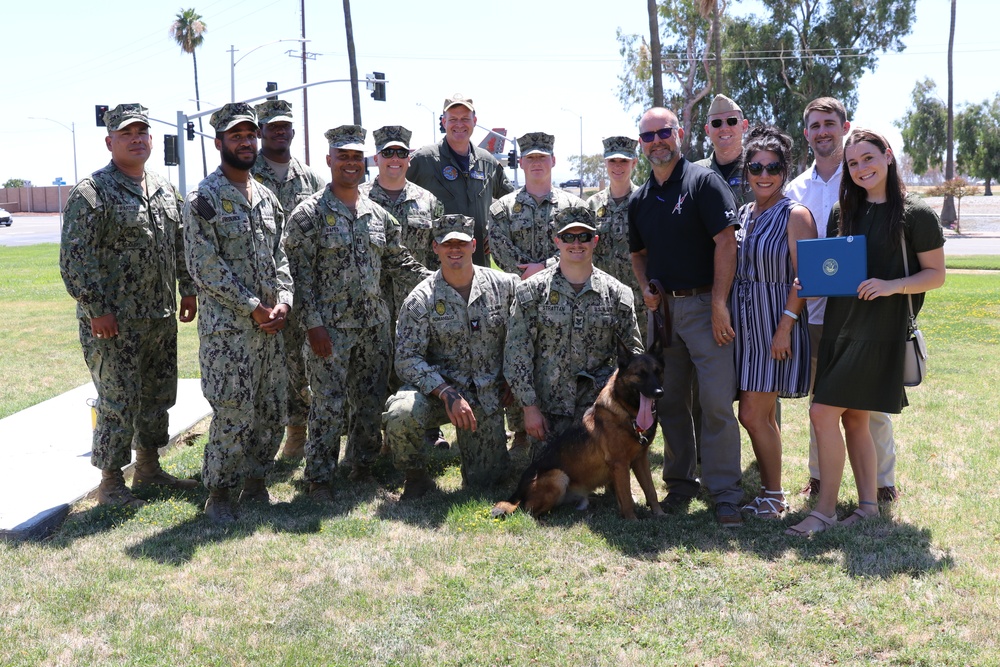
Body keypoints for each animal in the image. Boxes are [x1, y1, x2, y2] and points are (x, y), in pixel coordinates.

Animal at [492, 340, 664, 520]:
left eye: (658, 372)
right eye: (640, 374)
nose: (659, 393)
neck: (627, 413)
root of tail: (518, 490)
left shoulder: (641, 460)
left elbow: (650, 490)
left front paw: (660, 513)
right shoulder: (620, 464)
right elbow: (627, 497)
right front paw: (632, 520)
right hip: (558, 477)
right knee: (526, 510)